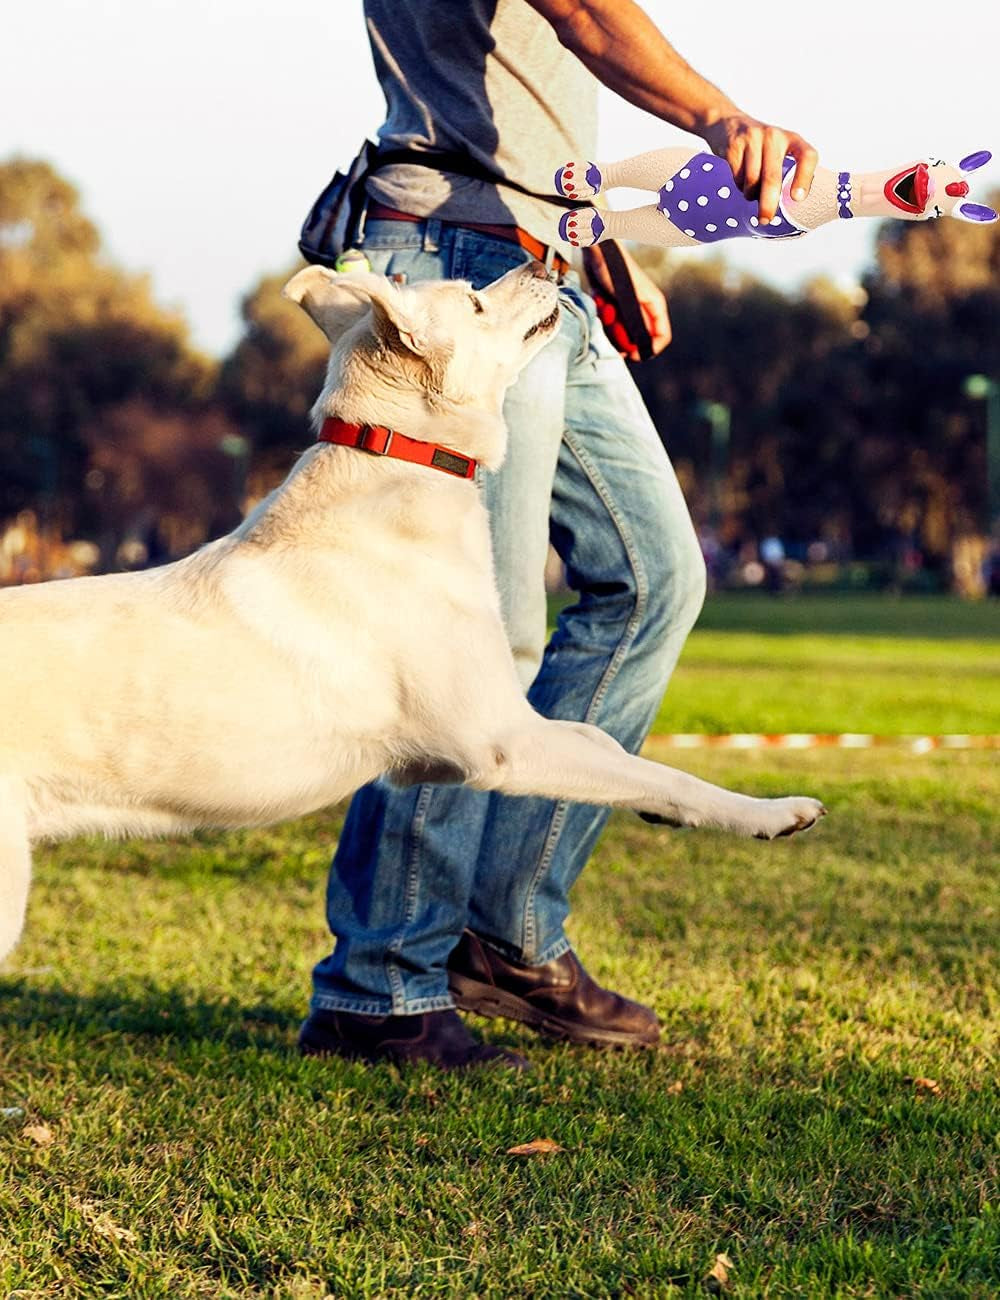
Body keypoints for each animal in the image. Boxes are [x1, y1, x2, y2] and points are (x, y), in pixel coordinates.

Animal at [0, 261, 827, 956]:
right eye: (473, 299)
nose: (546, 259)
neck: (399, 456)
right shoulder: (501, 743)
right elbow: (669, 776)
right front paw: (771, 813)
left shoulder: (504, 724)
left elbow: (613, 750)